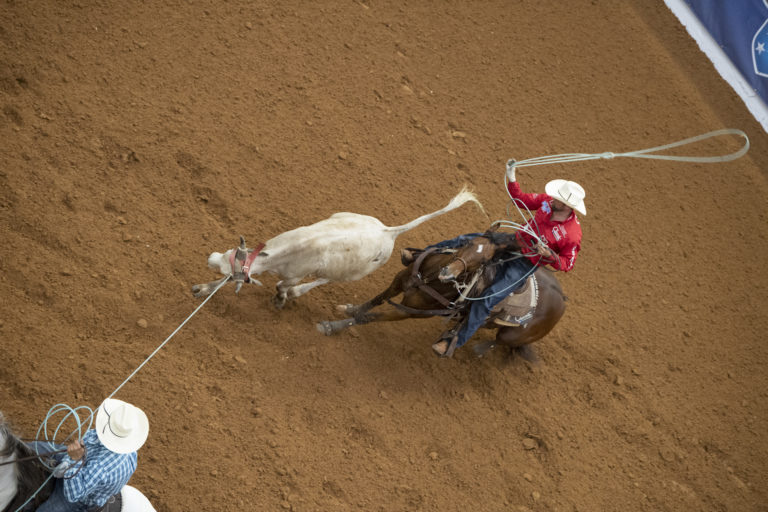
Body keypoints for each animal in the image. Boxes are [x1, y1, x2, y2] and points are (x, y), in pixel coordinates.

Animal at [316, 230, 568, 358]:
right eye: (468, 244)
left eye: (485, 261)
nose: (448, 273)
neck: (430, 278)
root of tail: (562, 301)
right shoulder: (400, 279)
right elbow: (375, 300)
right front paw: (350, 308)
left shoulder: (409, 312)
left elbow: (368, 318)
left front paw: (331, 326)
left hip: (512, 334)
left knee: (498, 342)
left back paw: (468, 348)